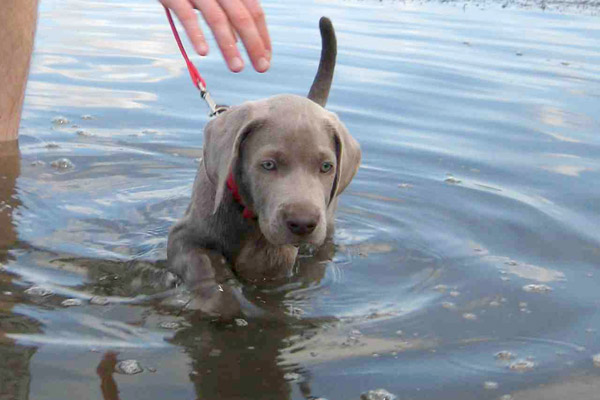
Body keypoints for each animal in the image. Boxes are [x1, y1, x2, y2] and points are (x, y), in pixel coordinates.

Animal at [166, 17, 360, 318]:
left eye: (326, 167)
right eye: (268, 165)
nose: (302, 223)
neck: (246, 214)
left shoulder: (275, 258)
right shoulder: (183, 237)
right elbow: (202, 265)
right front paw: (219, 303)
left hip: (327, 224)